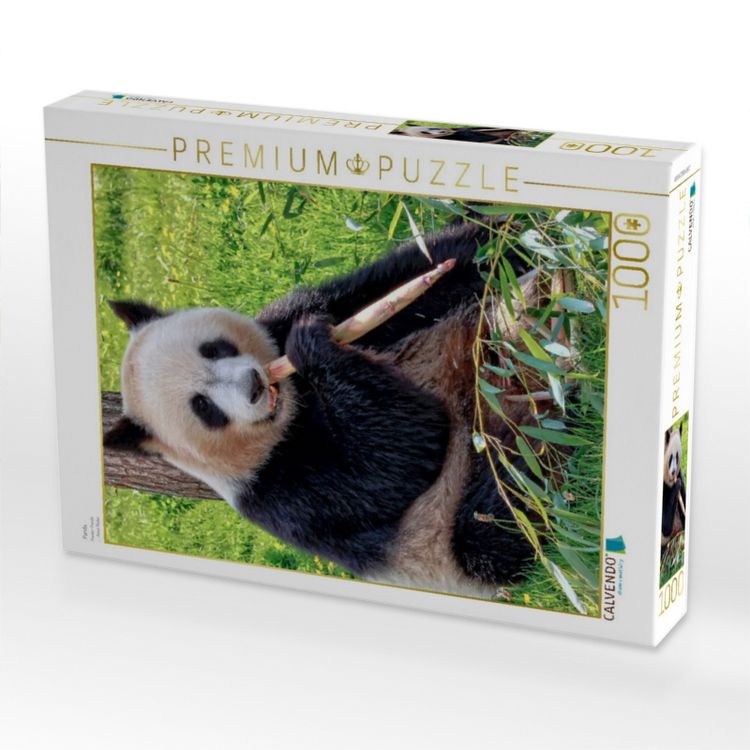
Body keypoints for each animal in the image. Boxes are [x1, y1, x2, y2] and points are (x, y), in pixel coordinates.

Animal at [104, 220, 540, 598]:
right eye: (204, 408)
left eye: (214, 349)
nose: (254, 385)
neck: (294, 406)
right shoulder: (280, 491)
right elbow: (402, 453)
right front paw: (310, 346)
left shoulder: (287, 318)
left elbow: (400, 286)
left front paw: (502, 238)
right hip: (448, 525)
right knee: (494, 524)